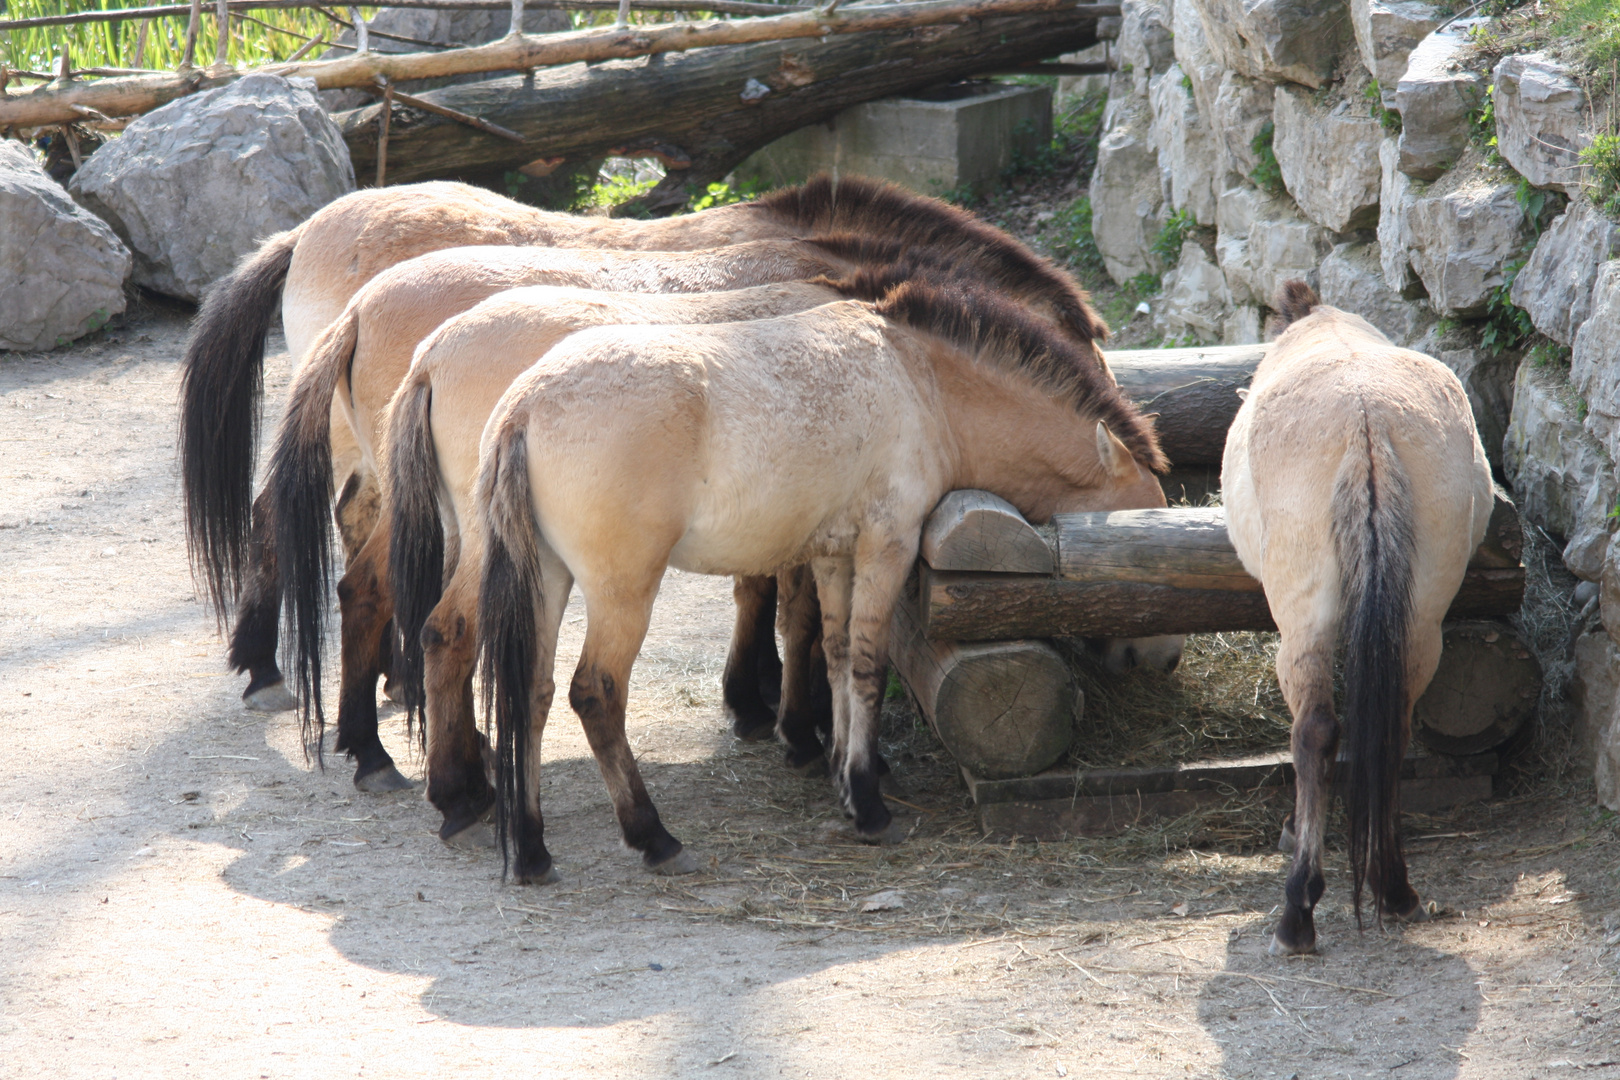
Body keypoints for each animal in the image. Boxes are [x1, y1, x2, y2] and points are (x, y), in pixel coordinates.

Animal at [180, 173, 1114, 718]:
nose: (1109, 653)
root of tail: (314, 243)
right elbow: (783, 599)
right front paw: (777, 710)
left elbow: (765, 588)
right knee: (355, 566)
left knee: (305, 526)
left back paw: (315, 673)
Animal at [260, 238, 946, 793]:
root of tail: (424, 350)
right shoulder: (809, 520)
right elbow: (799, 616)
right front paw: (799, 727)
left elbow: (774, 600)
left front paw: (768, 705)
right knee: (423, 616)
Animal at [469, 272, 1166, 887]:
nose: (1156, 656)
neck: (922, 383)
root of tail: (526, 406)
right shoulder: (888, 545)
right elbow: (867, 664)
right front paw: (867, 803)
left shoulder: (835, 554)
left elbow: (832, 653)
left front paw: (839, 772)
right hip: (623, 593)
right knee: (596, 695)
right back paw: (655, 839)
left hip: (549, 581)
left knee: (530, 695)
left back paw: (531, 852)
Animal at [1218, 281, 1490, 952]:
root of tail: (1368, 421)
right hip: (1419, 625)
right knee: (1391, 727)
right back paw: (1395, 889)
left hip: (1305, 624)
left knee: (1314, 730)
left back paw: (1298, 911)